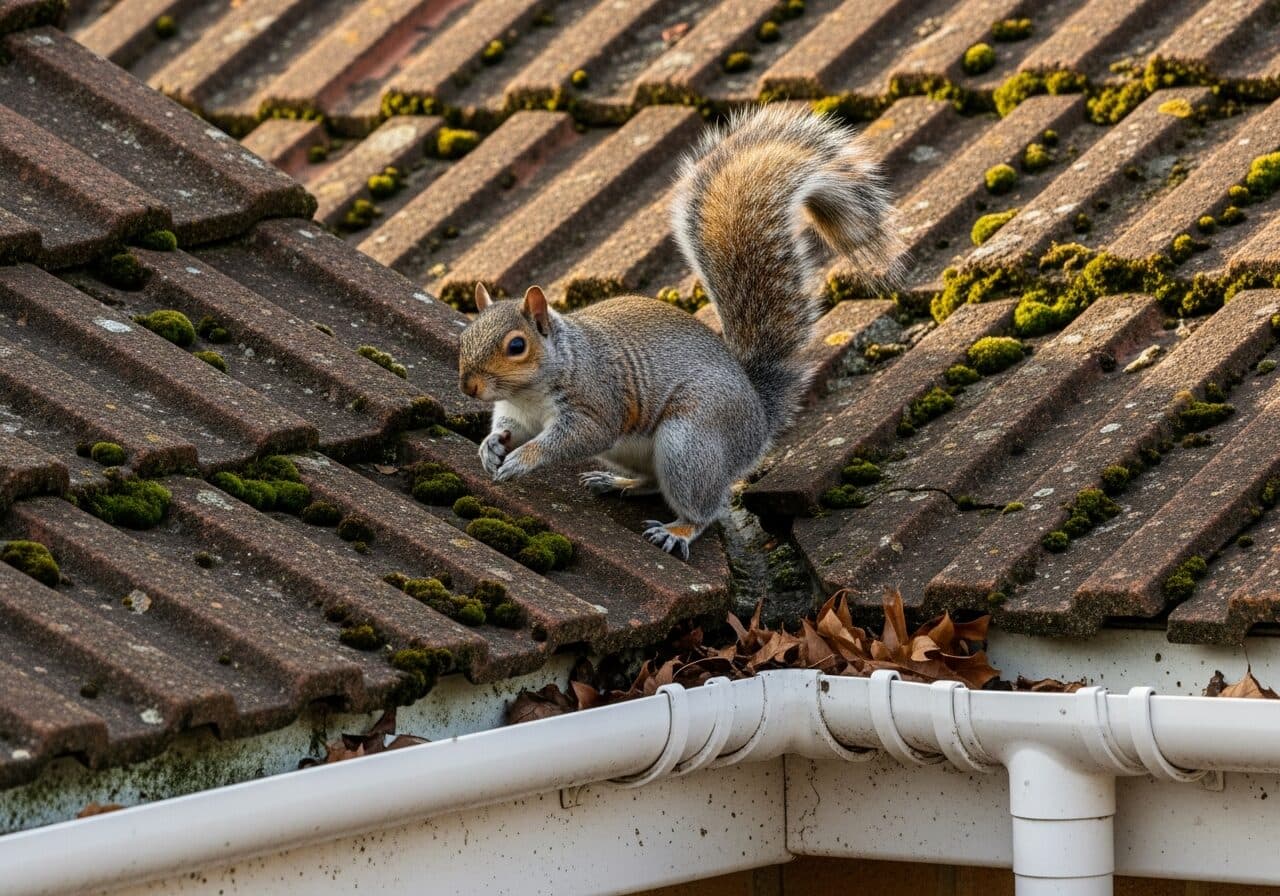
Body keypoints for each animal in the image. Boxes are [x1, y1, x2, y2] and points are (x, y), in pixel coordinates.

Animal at [458, 105, 901, 560]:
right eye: (465, 336)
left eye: (516, 345)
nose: (468, 387)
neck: (533, 389)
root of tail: (758, 419)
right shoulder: (518, 412)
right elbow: (510, 428)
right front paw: (491, 446)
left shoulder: (596, 402)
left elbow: (576, 437)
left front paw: (523, 458)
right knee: (653, 481)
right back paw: (618, 482)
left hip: (688, 444)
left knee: (702, 506)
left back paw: (678, 530)